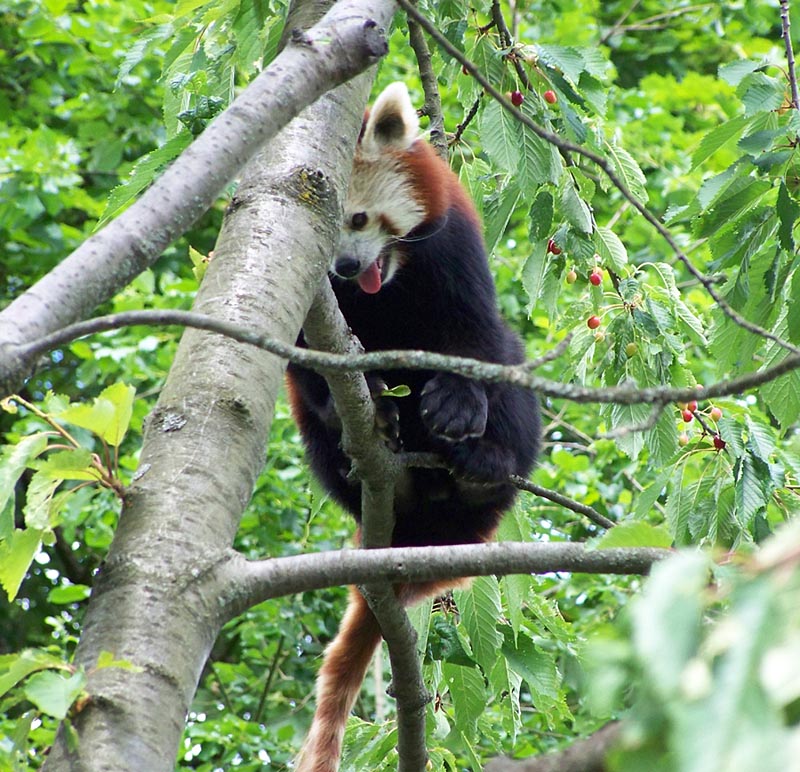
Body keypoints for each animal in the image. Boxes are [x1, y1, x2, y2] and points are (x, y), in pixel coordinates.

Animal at [284, 81, 540, 768]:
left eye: (358, 219)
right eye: (324, 237)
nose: (345, 269)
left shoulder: (453, 248)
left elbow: (473, 337)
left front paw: (458, 405)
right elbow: (307, 362)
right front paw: (371, 397)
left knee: (511, 371)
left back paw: (483, 472)